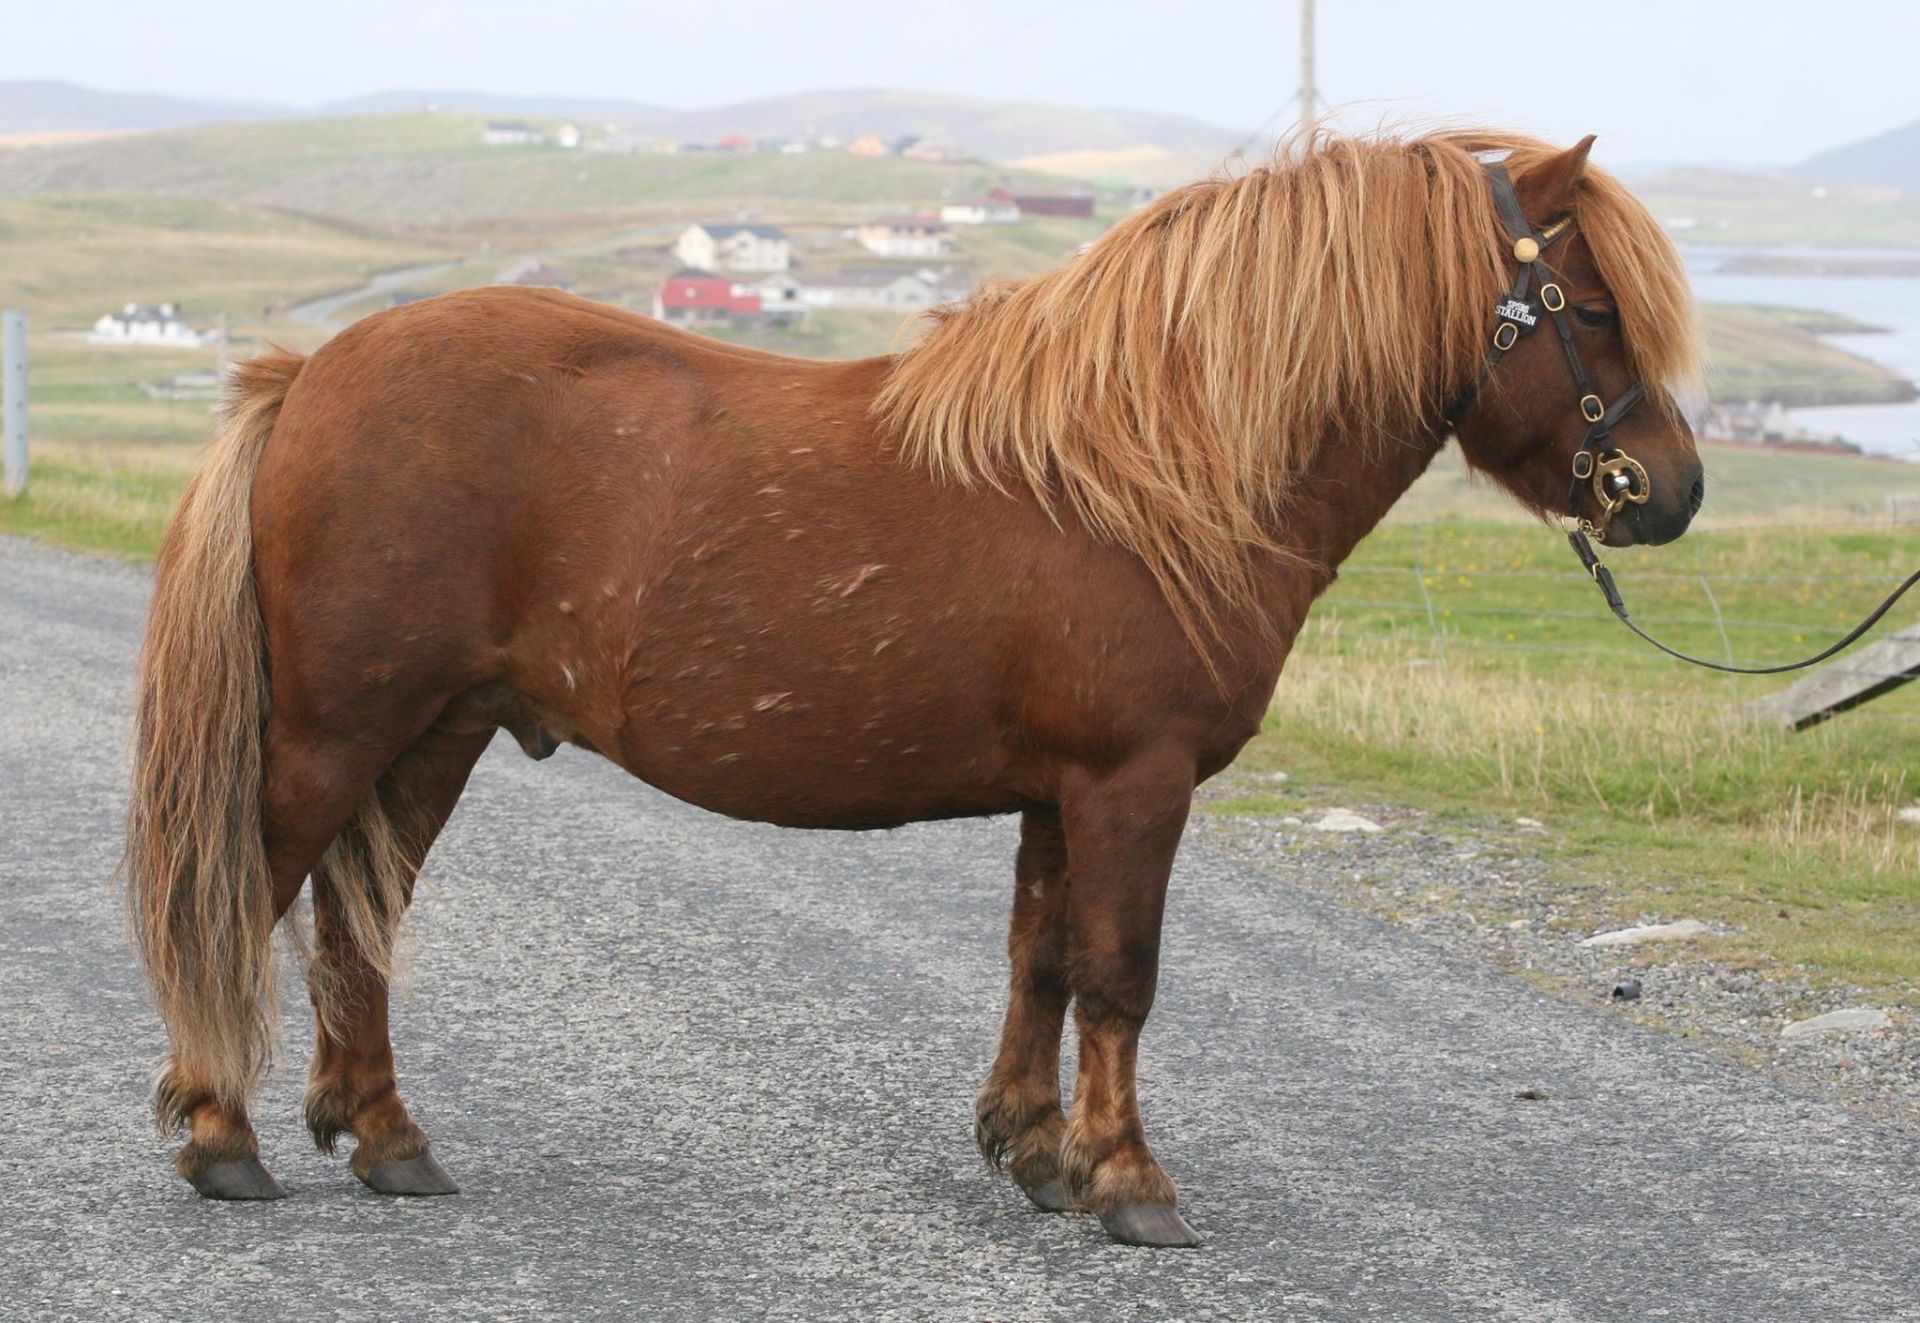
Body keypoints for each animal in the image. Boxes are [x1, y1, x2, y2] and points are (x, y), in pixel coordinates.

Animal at [127, 128, 1704, 1244]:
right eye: (1591, 305)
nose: (1671, 492)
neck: (1148, 471)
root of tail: (311, 369)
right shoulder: (1132, 782)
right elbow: (1122, 975)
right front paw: (1131, 1182)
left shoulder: (1064, 792)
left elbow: (1043, 961)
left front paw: (1038, 1151)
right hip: (335, 732)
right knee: (250, 893)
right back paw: (222, 1138)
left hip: (433, 734)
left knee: (360, 918)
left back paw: (388, 1138)